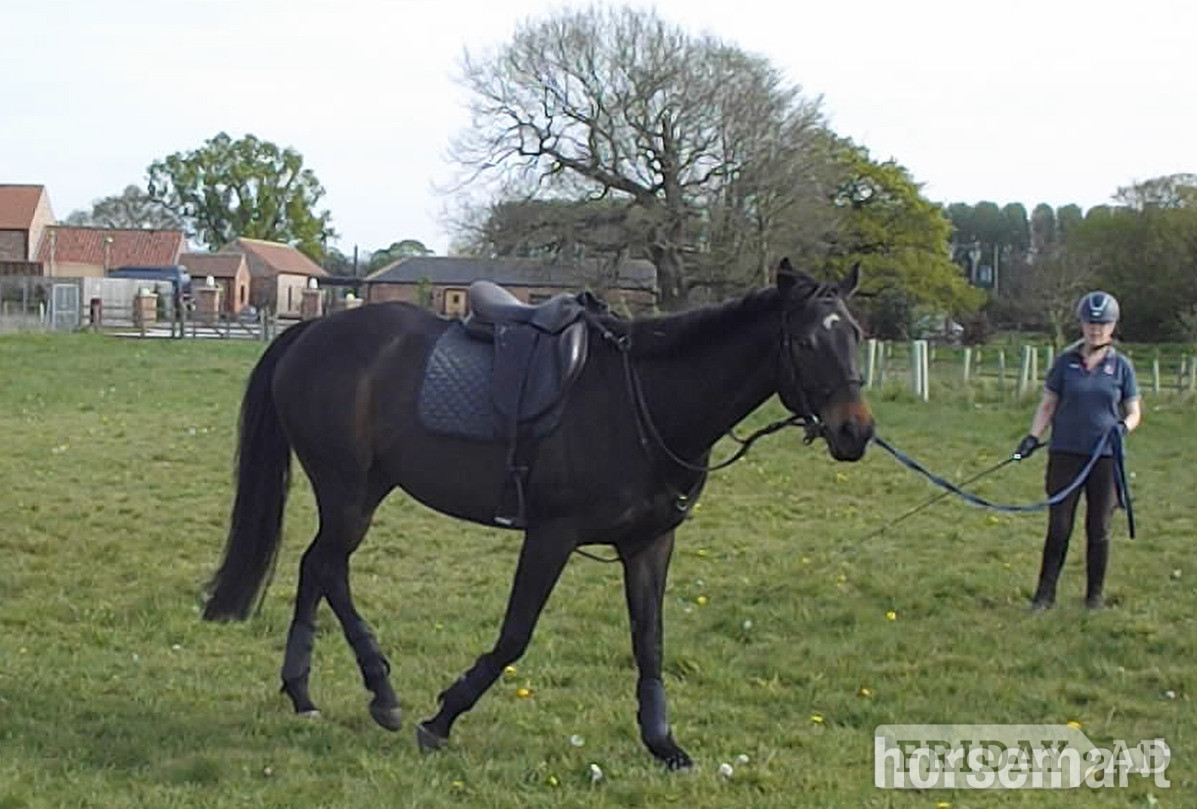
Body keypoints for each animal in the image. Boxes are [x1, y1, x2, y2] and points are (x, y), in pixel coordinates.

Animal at [201, 258, 874, 769]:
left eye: (856, 336)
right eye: (807, 341)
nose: (857, 432)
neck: (644, 399)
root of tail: (310, 335)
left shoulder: (650, 543)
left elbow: (650, 640)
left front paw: (662, 742)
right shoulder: (552, 535)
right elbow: (515, 634)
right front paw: (443, 716)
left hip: (363, 490)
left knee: (316, 567)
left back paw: (302, 691)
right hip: (348, 491)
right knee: (328, 568)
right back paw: (382, 693)